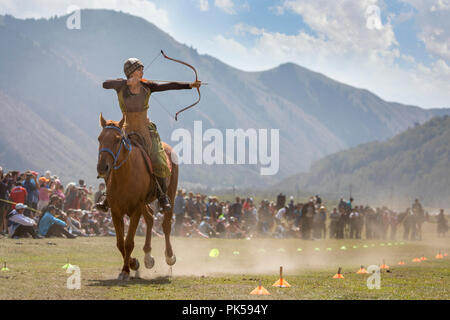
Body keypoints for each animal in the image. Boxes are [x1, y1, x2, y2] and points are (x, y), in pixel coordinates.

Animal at [96, 113, 178, 280]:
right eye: (99, 139)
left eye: (117, 139)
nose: (102, 168)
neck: (125, 176)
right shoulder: (116, 212)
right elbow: (120, 243)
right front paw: (133, 264)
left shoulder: (135, 210)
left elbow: (129, 242)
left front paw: (126, 270)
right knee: (150, 218)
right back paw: (148, 257)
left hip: (170, 194)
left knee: (166, 224)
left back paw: (169, 256)